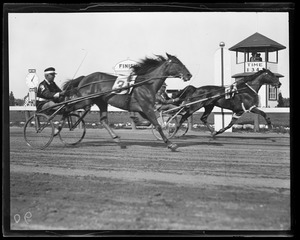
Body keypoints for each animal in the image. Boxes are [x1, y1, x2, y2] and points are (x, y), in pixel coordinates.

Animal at [61, 53, 191, 150]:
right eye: (177, 63)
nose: (189, 75)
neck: (146, 84)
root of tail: (84, 78)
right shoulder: (146, 107)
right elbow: (158, 125)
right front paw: (170, 144)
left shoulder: (144, 109)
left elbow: (152, 122)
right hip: (86, 100)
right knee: (67, 108)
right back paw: (63, 128)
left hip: (101, 102)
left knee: (103, 120)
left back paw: (118, 139)